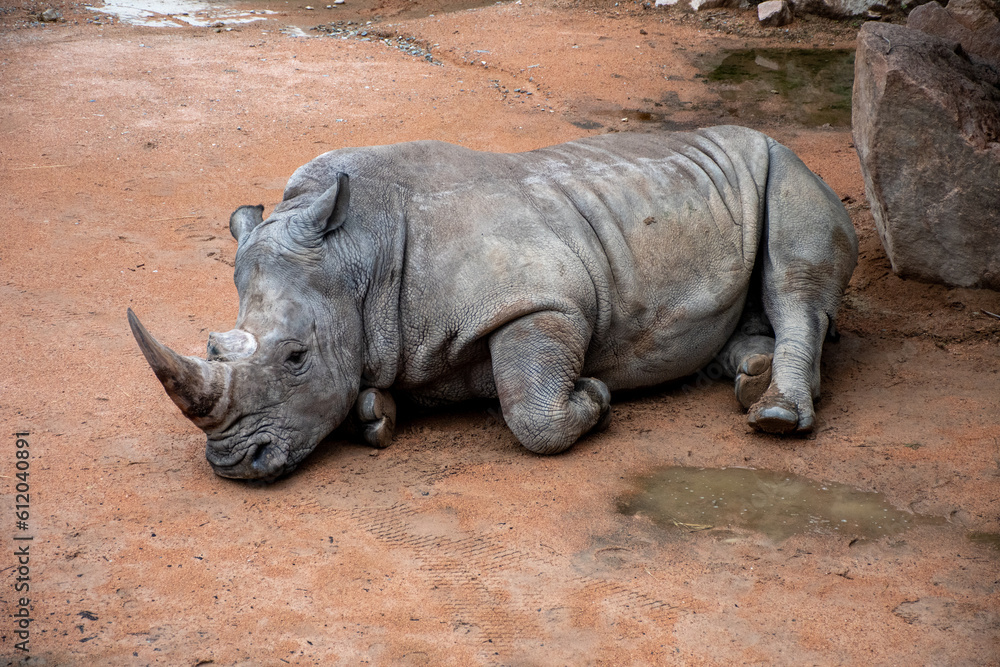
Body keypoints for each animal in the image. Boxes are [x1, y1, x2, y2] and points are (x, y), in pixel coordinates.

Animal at [128, 126, 857, 480]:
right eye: (214, 345)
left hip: (789, 167)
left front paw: (594, 397)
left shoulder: (543, 300)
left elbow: (531, 410)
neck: (357, 256)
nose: (232, 465)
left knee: (795, 275)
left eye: (296, 357)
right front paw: (375, 414)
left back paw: (774, 416)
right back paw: (750, 376)